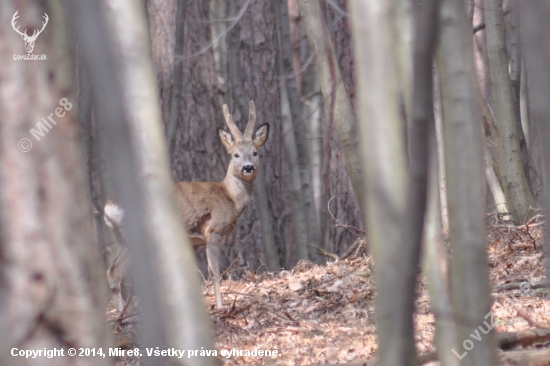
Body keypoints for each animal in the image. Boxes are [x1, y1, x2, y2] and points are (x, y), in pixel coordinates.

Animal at [105, 100, 270, 308]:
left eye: (255, 152)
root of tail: (109, 206)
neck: (230, 197)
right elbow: (215, 272)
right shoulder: (213, 231)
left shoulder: (194, 243)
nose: (248, 168)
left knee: (112, 272)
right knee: (115, 272)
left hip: (121, 239)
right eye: (236, 155)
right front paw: (221, 306)